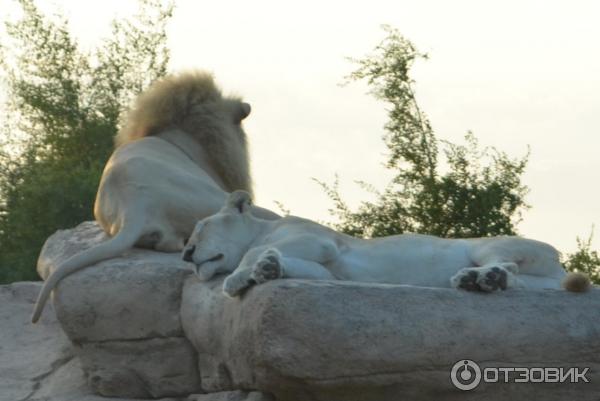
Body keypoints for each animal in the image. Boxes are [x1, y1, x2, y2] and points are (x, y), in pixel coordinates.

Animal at [183, 189, 592, 296]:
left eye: (199, 229)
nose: (186, 255)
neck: (263, 227)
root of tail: (560, 264)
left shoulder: (321, 241)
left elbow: (251, 251)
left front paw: (238, 278)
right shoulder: (326, 268)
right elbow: (291, 265)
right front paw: (267, 269)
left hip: (487, 245)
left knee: (504, 264)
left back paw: (478, 279)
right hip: (537, 277)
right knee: (520, 281)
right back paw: (474, 281)